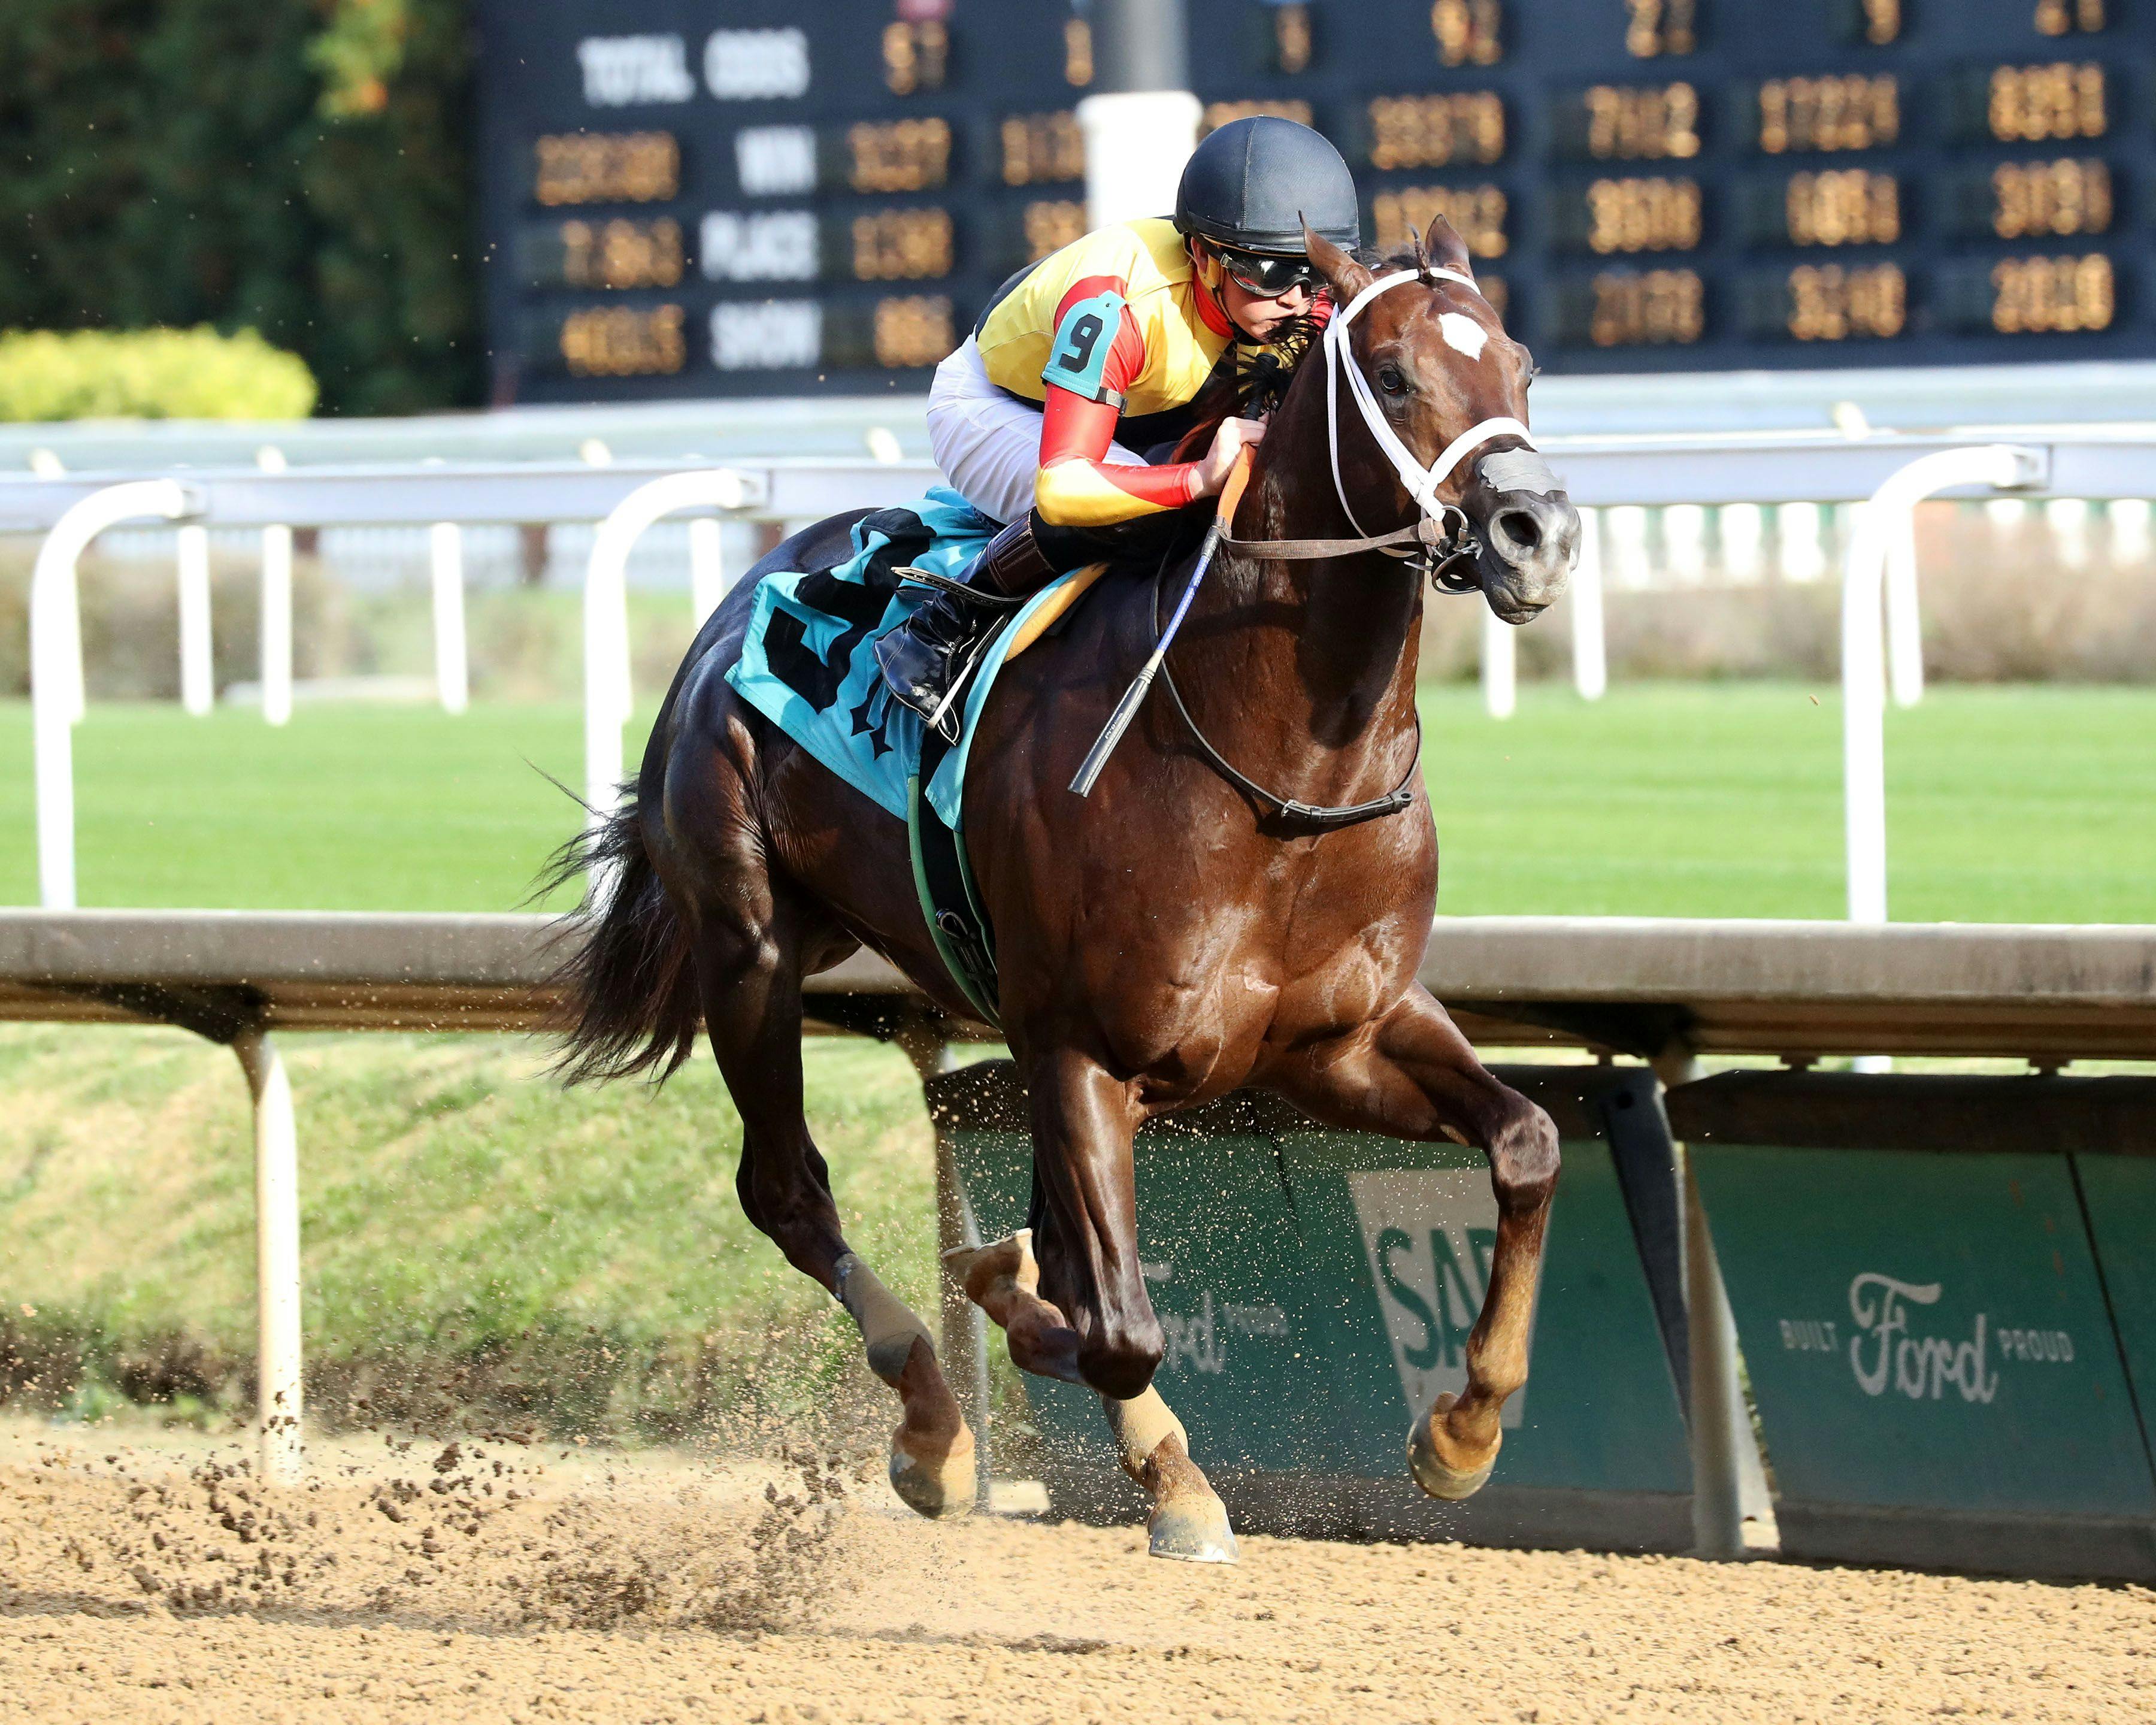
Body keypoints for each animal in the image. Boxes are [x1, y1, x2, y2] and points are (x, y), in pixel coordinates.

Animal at [547, 219, 1578, 1561]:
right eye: (1396, 376)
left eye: (1521, 366)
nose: (1535, 531)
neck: (1285, 779)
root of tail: (732, 608)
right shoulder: (1084, 1045)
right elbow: (1115, 1325)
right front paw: (1094, 1395)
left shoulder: (1338, 1039)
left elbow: (1528, 1143)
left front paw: (1462, 1432)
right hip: (749, 949)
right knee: (788, 1191)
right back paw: (936, 1421)